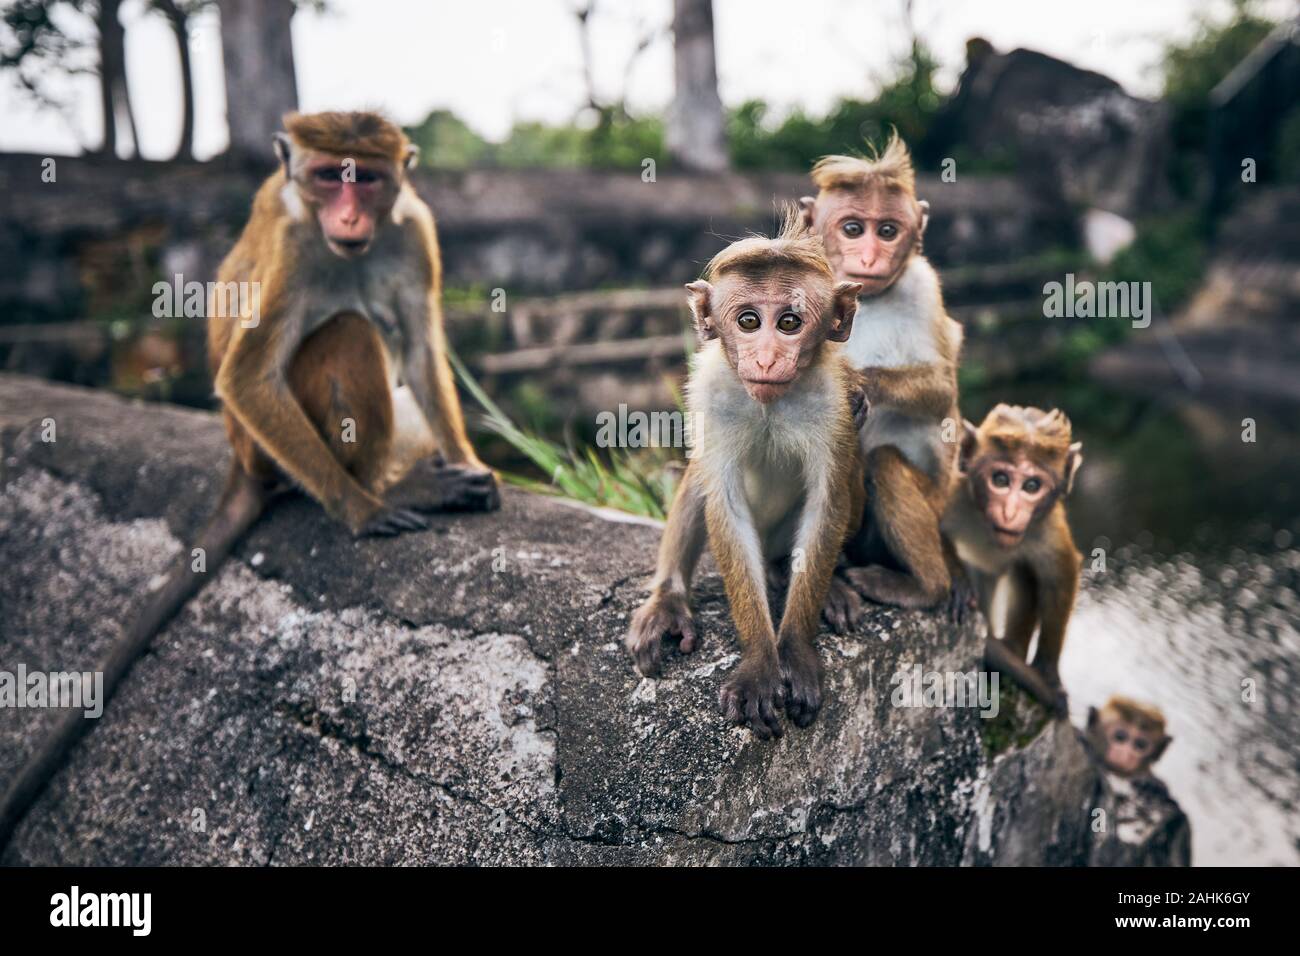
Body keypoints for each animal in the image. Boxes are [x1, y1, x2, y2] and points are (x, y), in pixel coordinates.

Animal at [0, 111, 499, 853]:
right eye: (328, 178)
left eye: (367, 179)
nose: (349, 213)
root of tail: (239, 457)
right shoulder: (294, 247)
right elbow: (247, 373)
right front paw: (360, 509)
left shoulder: (415, 231)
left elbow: (419, 346)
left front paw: (467, 461)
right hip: (267, 451)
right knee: (345, 332)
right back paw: (388, 487)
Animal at [621, 217, 863, 738]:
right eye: (748, 321)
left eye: (789, 322)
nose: (767, 359)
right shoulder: (710, 391)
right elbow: (724, 504)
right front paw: (760, 664)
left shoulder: (831, 399)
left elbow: (827, 499)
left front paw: (795, 651)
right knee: (700, 478)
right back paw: (669, 600)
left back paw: (820, 583)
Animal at [800, 132, 967, 629]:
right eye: (854, 229)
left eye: (888, 231)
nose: (871, 256)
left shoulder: (922, 283)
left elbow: (942, 388)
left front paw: (856, 382)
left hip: (935, 501)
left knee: (886, 463)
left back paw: (927, 586)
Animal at [946, 403, 1086, 717]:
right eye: (1000, 480)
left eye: (1032, 486)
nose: (1010, 513)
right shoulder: (952, 490)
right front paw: (958, 582)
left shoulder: (1046, 527)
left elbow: (1060, 575)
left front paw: (1048, 672)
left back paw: (1011, 648)